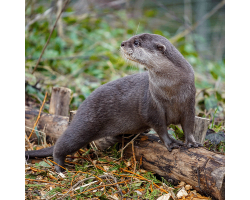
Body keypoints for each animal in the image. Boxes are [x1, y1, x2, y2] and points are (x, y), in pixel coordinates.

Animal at [25, 33, 201, 173]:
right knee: (63, 143)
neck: (172, 90)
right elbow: (159, 126)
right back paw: (60, 167)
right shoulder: (152, 105)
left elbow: (189, 124)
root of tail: (83, 104)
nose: (123, 43)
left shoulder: (189, 102)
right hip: (86, 123)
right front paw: (170, 142)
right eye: (132, 38)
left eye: (137, 42)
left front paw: (192, 143)